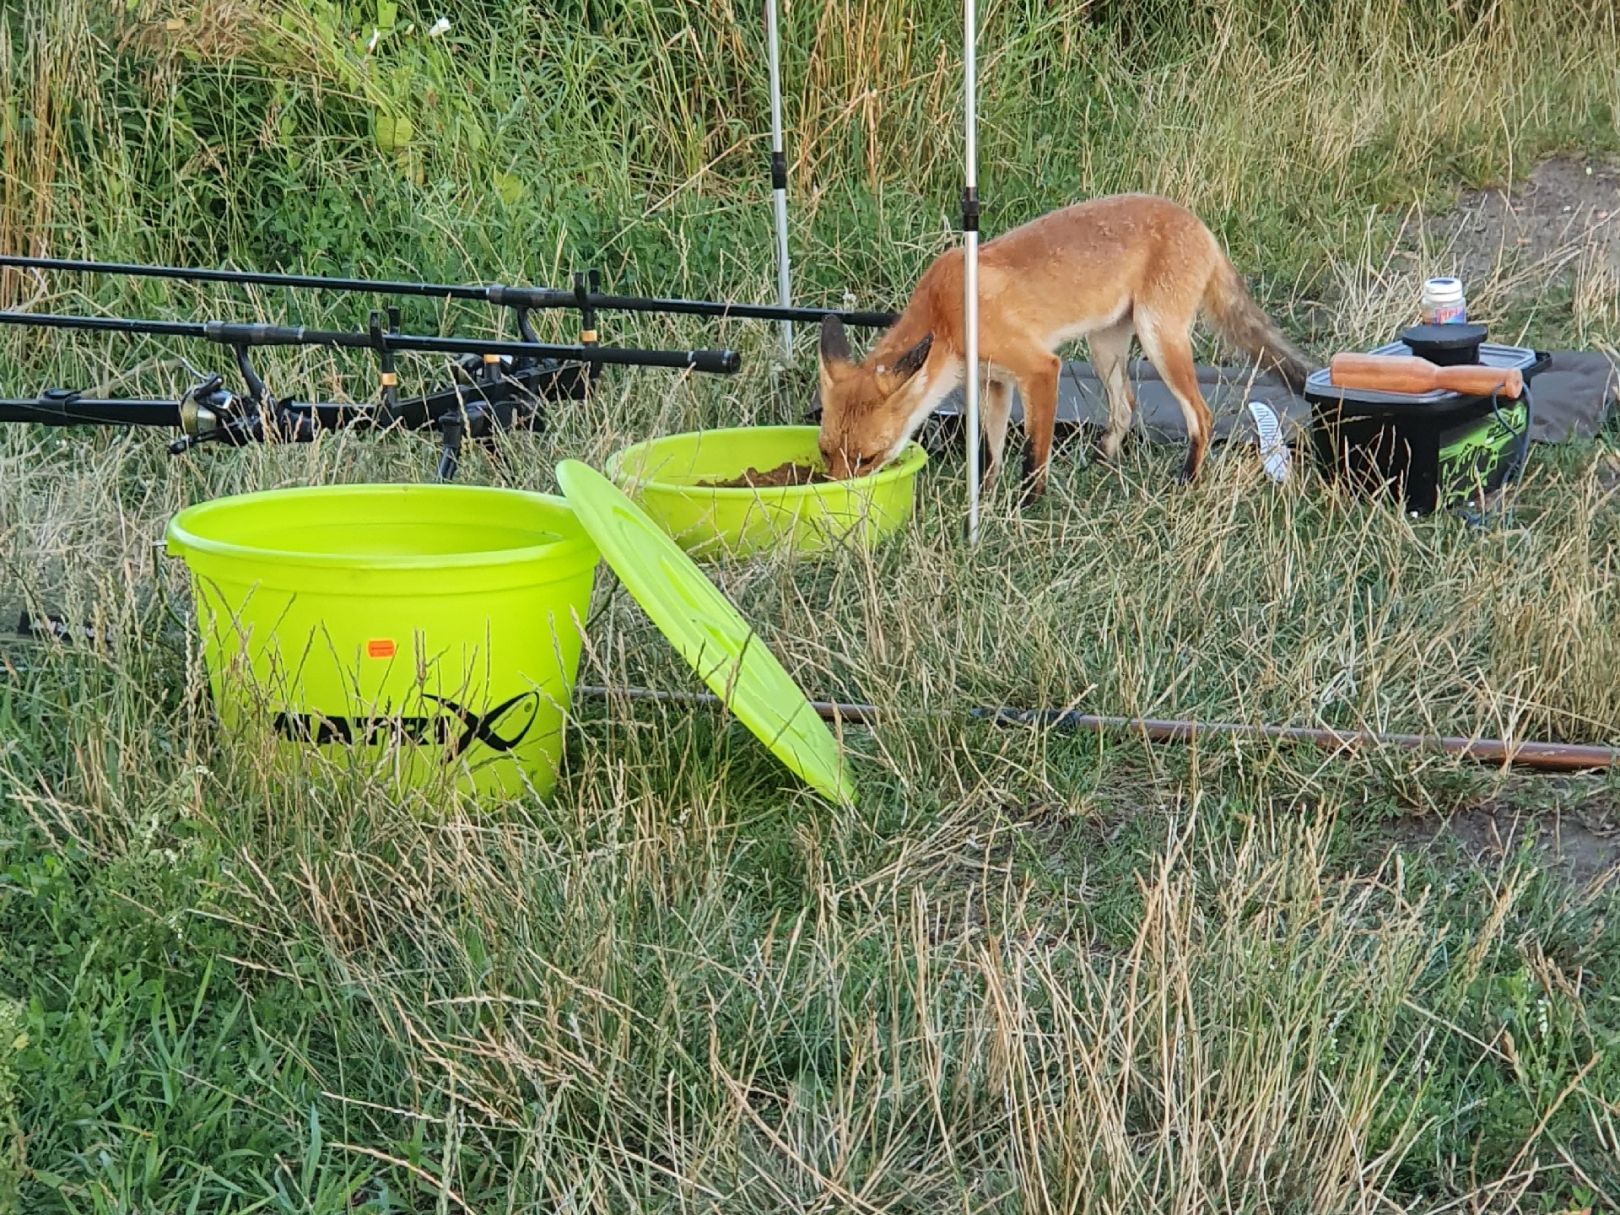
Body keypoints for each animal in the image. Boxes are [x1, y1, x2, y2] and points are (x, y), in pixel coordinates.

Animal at [816, 193, 1308, 505]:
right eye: (825, 452)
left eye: (867, 459)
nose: (838, 501)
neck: (946, 313)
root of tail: (1201, 227)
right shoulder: (994, 382)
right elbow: (990, 452)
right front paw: (986, 499)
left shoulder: (1039, 369)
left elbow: (1033, 455)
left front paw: (1027, 507)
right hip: (1104, 346)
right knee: (1126, 406)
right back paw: (1107, 461)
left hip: (1158, 338)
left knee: (1200, 416)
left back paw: (1187, 480)